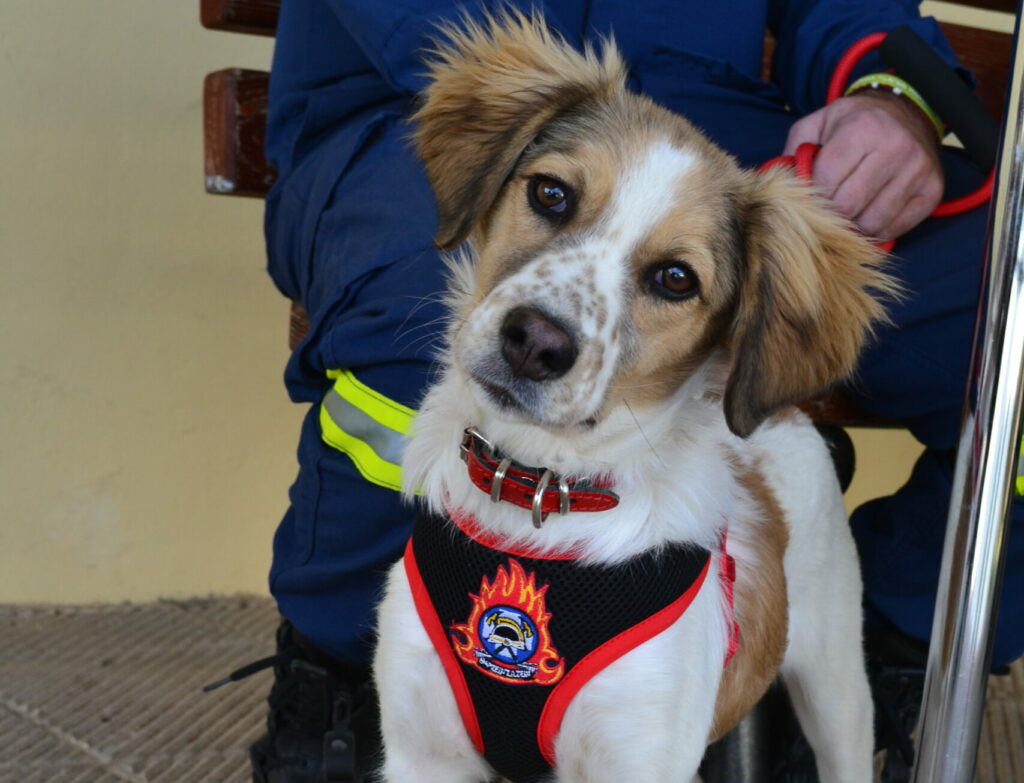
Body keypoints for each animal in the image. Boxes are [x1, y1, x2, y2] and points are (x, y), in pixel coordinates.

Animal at [374, 13, 897, 781]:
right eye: (551, 194)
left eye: (676, 278)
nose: (534, 342)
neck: (539, 494)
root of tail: (785, 412)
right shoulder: (422, 752)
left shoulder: (637, 755)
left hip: (838, 687)